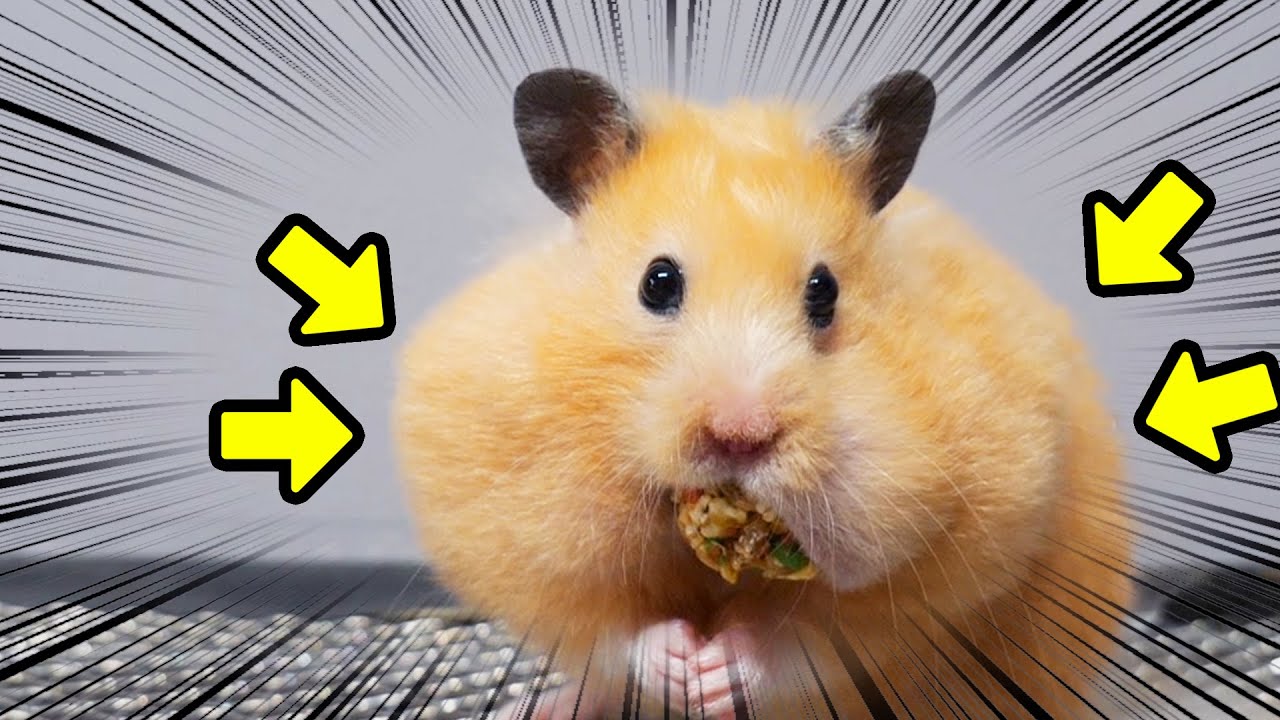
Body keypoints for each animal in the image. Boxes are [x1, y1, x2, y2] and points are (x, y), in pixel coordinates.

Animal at [393, 68, 1133, 720]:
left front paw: (720, 669)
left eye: (824, 291)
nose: (740, 436)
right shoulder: (513, 519)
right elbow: (612, 626)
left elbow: (818, 636)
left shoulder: (965, 537)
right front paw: (677, 661)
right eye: (657, 281)